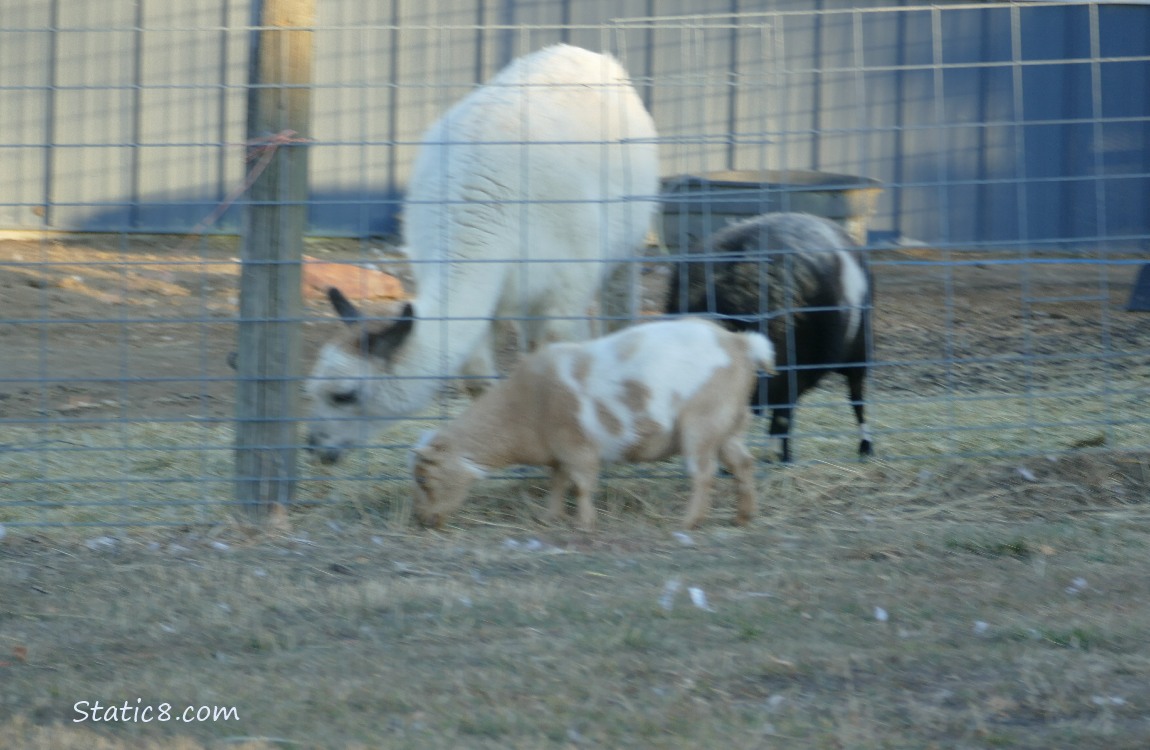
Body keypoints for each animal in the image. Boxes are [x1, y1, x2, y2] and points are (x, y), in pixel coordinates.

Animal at [304, 44, 660, 464]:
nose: (315, 446)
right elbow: (479, 378)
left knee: (620, 309)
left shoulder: (565, 290)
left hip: (625, 244)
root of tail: (583, 52)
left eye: (344, 396)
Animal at [410, 317, 776, 530]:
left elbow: (582, 485)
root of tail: (741, 344)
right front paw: (551, 516)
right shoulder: (558, 452)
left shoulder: (577, 446)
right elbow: (558, 483)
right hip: (728, 427)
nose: (424, 520)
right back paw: (743, 516)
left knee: (704, 473)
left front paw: (584, 523)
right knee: (743, 463)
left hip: (701, 425)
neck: (525, 405)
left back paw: (688, 521)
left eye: (426, 479)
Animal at [665, 212, 873, 463]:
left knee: (857, 397)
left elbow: (782, 416)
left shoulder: (795, 375)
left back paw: (865, 446)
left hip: (857, 352)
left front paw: (780, 456)